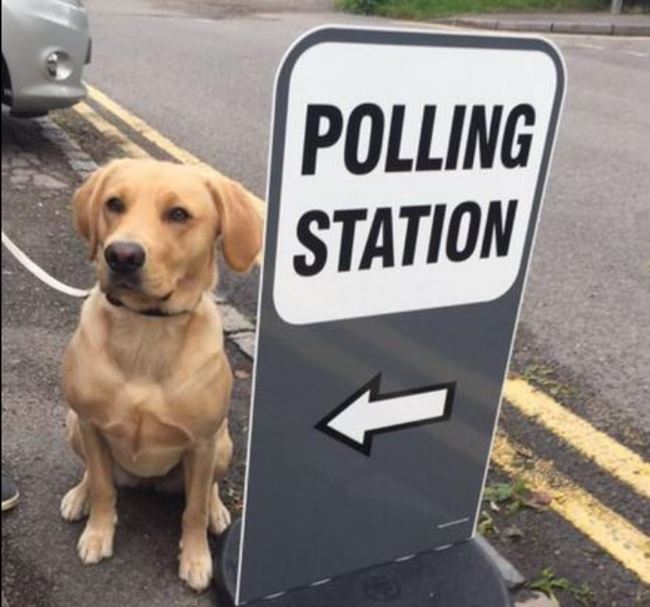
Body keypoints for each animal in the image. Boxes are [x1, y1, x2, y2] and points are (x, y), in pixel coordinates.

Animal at [59, 159, 262, 592]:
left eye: (179, 214)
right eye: (114, 204)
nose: (121, 255)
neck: (146, 333)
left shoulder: (202, 443)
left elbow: (194, 509)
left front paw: (197, 558)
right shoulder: (90, 423)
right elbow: (102, 486)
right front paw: (98, 532)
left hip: (223, 444)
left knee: (208, 488)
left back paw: (218, 511)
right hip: (72, 424)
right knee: (93, 472)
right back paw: (79, 495)